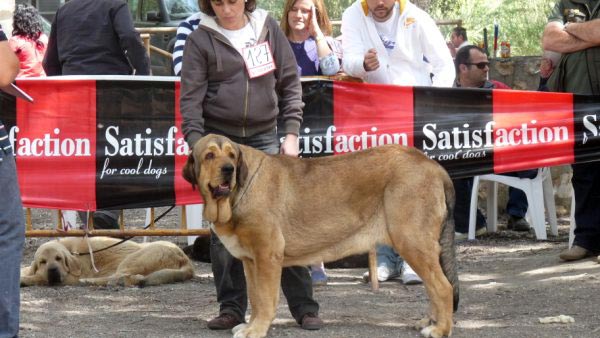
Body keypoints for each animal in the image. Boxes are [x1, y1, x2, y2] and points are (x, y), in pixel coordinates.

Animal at [20, 236, 195, 286]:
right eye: (42, 262)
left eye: (59, 259)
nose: (53, 270)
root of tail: (184, 257)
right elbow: (27, 269)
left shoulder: (70, 277)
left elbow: (39, 277)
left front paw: (24, 280)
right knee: (131, 279)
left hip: (131, 260)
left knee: (122, 278)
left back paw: (90, 281)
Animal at [180, 134, 458, 338]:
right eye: (209, 156)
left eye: (232, 155)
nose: (228, 169)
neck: (239, 191)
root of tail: (433, 165)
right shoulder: (251, 261)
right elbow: (256, 299)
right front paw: (250, 325)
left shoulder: (267, 256)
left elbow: (266, 300)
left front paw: (256, 330)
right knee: (434, 287)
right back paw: (428, 321)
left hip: (412, 242)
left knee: (442, 287)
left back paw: (439, 329)